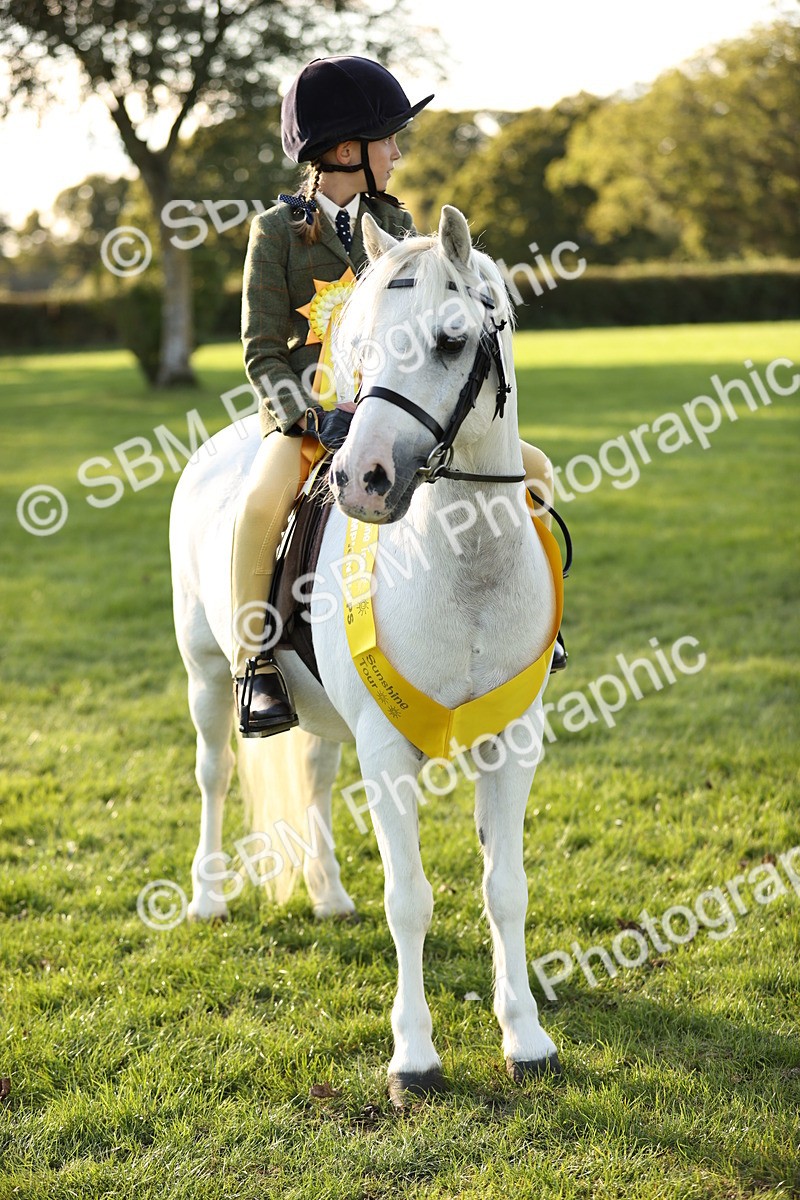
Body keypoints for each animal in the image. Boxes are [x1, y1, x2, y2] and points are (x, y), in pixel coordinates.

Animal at [169, 205, 563, 1104]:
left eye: (452, 340)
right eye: (362, 340)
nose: (362, 478)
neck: (463, 565)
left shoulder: (513, 744)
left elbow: (506, 889)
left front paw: (526, 1037)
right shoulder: (388, 754)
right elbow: (410, 899)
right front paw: (414, 1058)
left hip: (319, 712)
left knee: (314, 776)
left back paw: (327, 894)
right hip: (204, 672)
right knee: (213, 771)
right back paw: (208, 897)